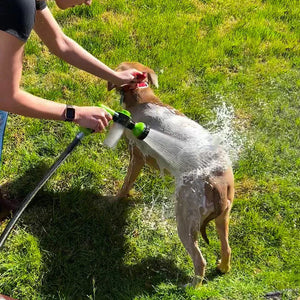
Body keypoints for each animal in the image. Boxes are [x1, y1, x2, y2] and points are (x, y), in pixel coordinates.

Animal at [108, 61, 234, 288]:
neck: (143, 99)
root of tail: (217, 183)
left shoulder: (136, 156)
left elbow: (126, 184)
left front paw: (115, 200)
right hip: (223, 216)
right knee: (227, 248)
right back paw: (222, 268)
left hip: (185, 220)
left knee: (200, 260)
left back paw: (192, 288)